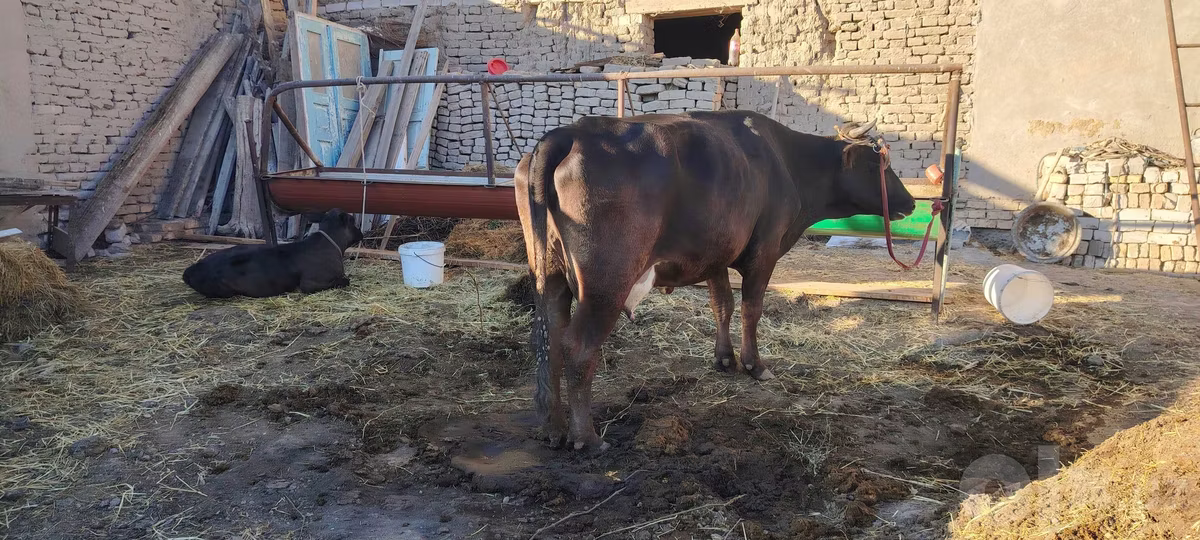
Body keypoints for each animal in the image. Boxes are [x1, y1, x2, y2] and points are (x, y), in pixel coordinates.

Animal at [514, 111, 916, 452]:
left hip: (549, 274)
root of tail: (572, 133)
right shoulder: (764, 251)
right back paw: (587, 438)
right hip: (605, 283)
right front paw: (755, 365)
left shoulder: (716, 256)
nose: (912, 203)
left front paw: (724, 359)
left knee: (548, 336)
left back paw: (553, 428)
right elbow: (751, 309)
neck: (787, 162)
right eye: (877, 164)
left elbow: (722, 304)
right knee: (578, 346)